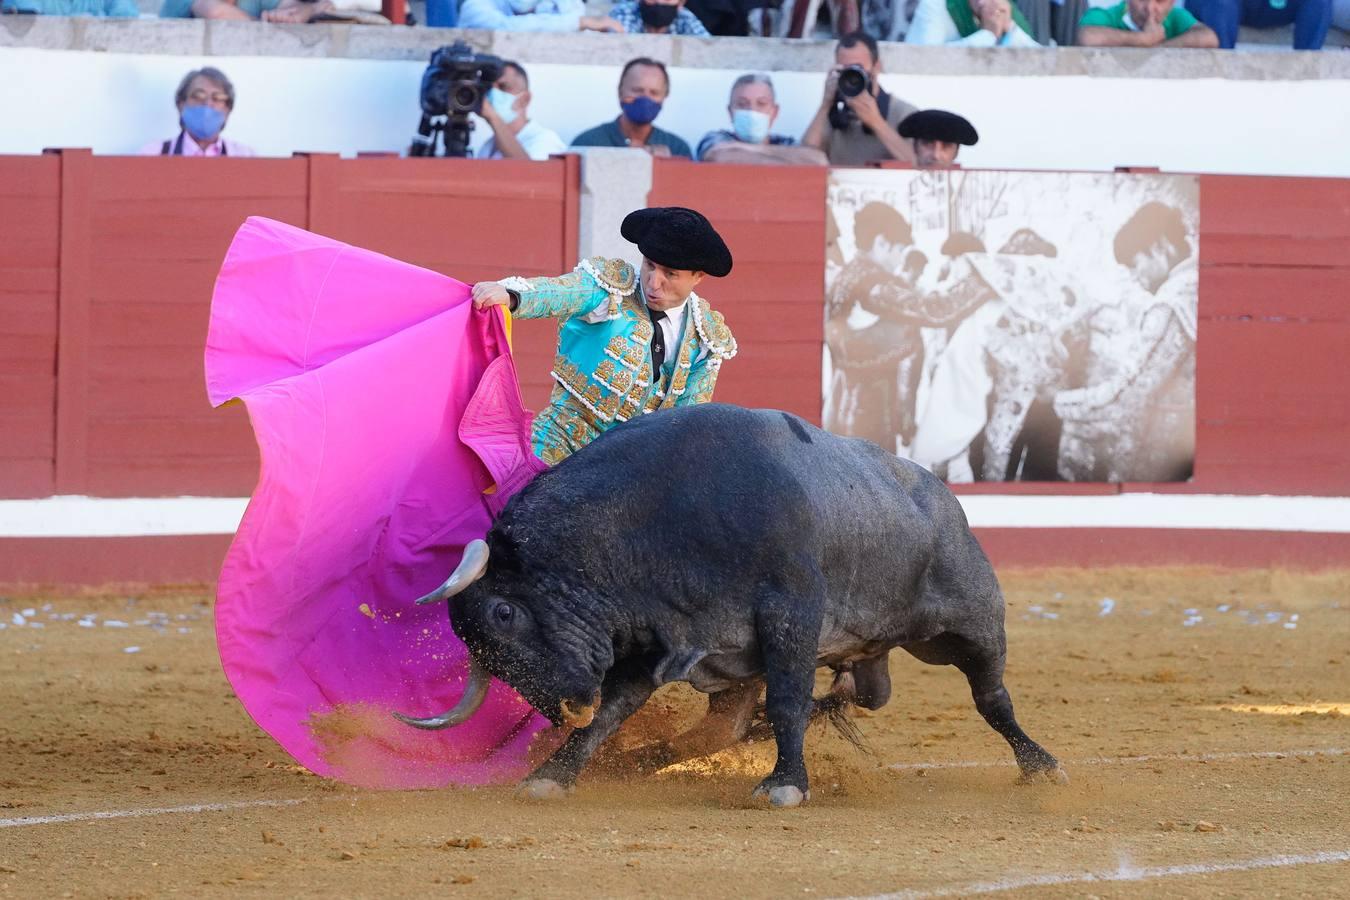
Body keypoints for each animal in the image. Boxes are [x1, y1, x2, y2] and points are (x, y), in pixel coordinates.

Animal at [399, 404, 1063, 804]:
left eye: (504, 613)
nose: (566, 709)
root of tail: (939, 491)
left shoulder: (791, 612)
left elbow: (791, 699)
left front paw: (785, 785)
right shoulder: (657, 640)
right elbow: (615, 708)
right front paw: (551, 776)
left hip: (970, 624)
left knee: (992, 697)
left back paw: (1040, 764)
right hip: (789, 664)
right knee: (737, 725)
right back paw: (645, 759)